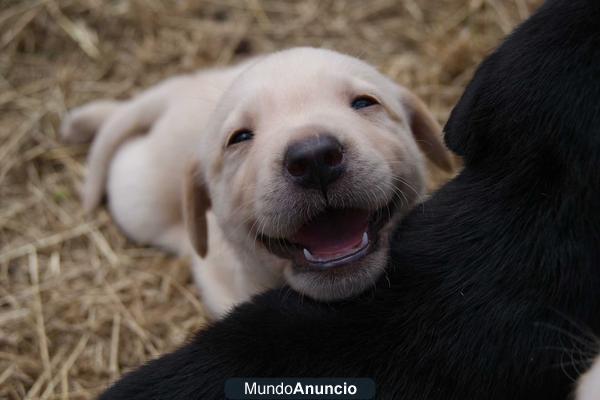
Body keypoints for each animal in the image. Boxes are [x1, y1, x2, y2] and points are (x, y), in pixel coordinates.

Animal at [63, 47, 452, 318]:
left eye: (364, 103)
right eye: (240, 137)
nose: (313, 159)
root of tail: (180, 92)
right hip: (138, 198)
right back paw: (86, 121)